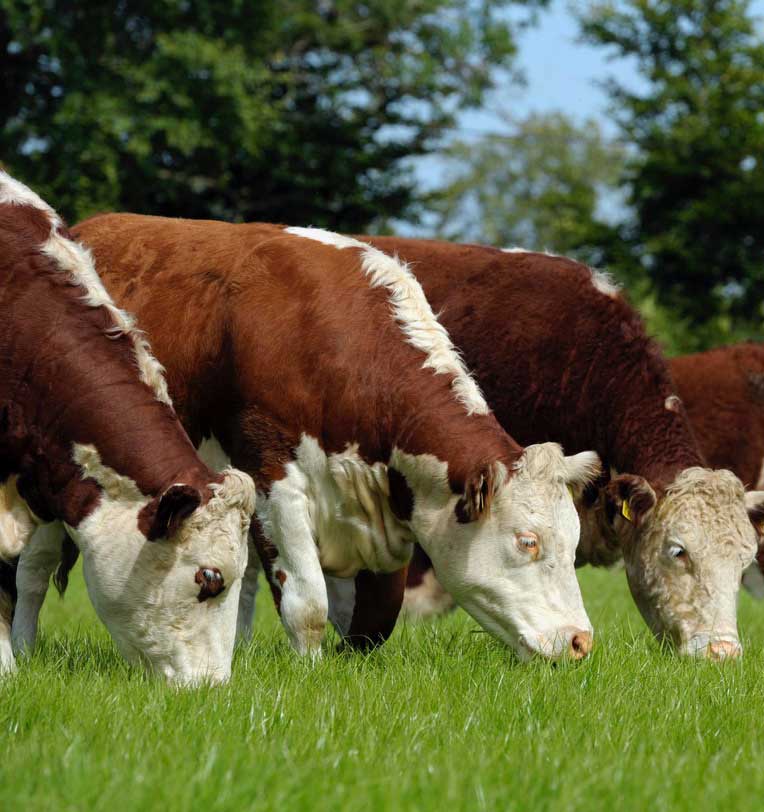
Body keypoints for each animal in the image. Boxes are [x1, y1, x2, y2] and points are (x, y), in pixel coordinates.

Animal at [53, 214, 604, 660]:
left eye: (574, 541)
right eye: (527, 541)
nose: (581, 641)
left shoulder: (385, 512)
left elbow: (374, 620)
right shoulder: (274, 480)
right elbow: (307, 601)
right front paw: (309, 669)